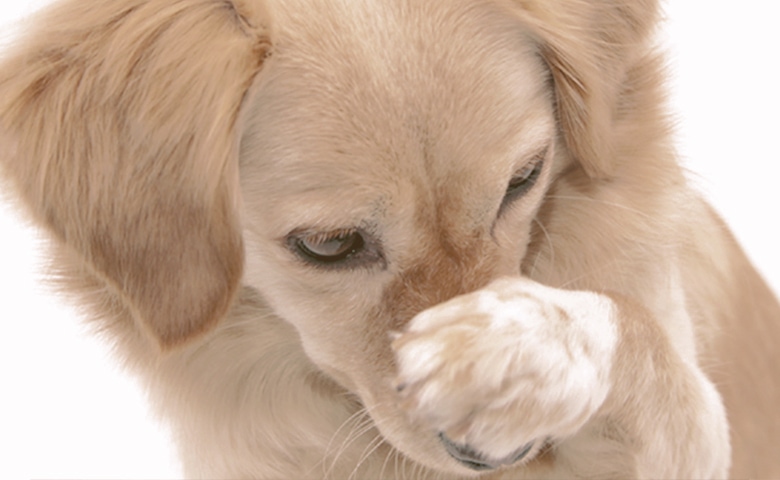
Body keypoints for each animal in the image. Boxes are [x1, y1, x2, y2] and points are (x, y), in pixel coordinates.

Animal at [0, 0, 776, 478]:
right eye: (327, 246)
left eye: (524, 179)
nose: (503, 454)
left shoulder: (699, 432)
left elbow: (634, 332)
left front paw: (519, 352)